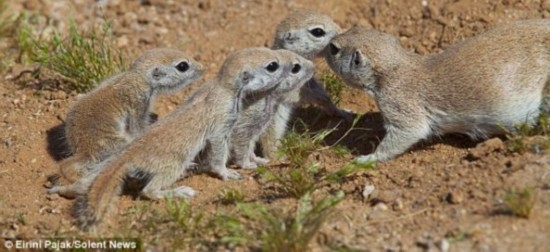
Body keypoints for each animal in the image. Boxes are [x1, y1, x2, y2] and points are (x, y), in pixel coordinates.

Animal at [49, 48, 205, 188]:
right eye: (182, 66)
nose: (202, 69)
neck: (137, 77)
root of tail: (83, 151)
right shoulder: (138, 104)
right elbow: (138, 128)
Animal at [71, 47, 298, 230]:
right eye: (272, 65)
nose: (292, 63)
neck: (222, 86)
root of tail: (126, 157)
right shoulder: (221, 124)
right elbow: (219, 151)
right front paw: (227, 172)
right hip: (173, 163)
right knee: (149, 191)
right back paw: (179, 191)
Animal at [262, 9, 350, 158]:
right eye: (318, 31)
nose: (341, 32)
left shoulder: (310, 81)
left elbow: (321, 93)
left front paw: (338, 110)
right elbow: (300, 95)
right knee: (268, 143)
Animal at [326, 19, 550, 161]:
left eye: (334, 49)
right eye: (355, 27)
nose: (329, 43)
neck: (396, 66)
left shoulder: (399, 102)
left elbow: (409, 130)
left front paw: (367, 158)